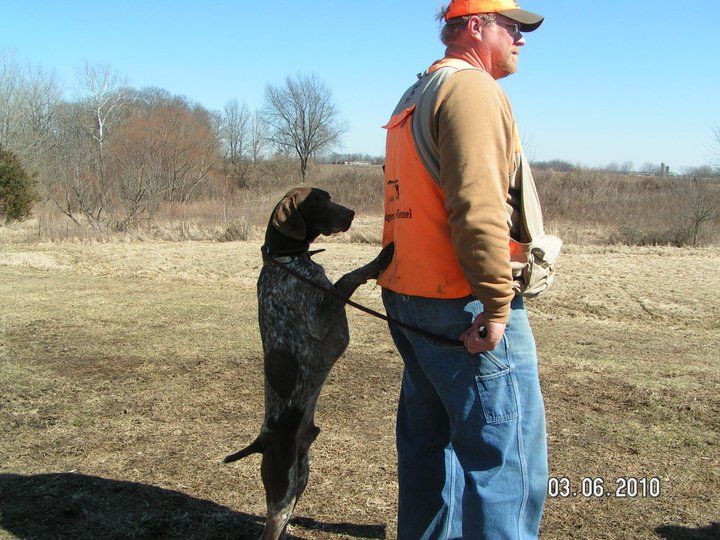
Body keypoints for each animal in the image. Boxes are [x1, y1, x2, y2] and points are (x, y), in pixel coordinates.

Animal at [224, 187, 394, 540]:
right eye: (316, 201)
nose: (351, 213)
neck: (287, 262)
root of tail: (262, 440)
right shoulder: (321, 314)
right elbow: (348, 277)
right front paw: (381, 258)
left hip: (301, 477)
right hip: (282, 490)